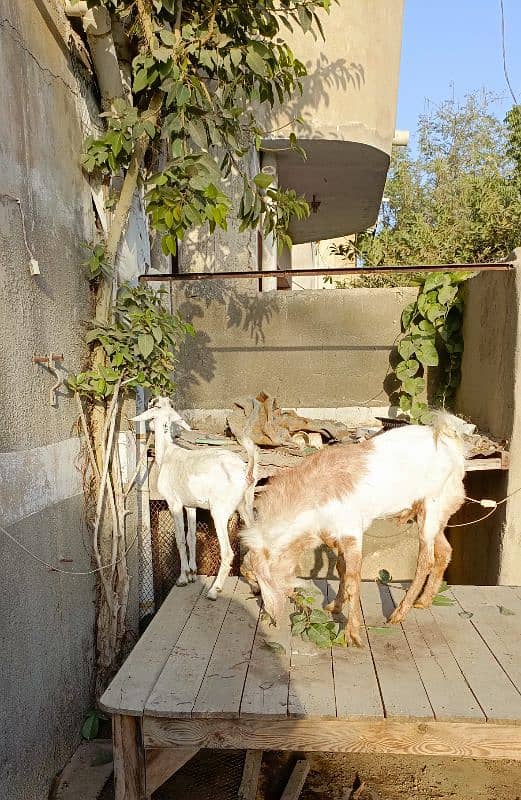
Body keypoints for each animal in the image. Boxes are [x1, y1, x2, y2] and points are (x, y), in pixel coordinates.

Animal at [133, 396, 256, 596]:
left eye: (155, 406)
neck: (167, 453)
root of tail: (246, 470)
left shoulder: (174, 503)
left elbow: (180, 539)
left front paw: (183, 578)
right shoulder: (190, 505)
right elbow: (191, 536)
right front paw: (192, 573)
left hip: (220, 512)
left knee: (228, 552)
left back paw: (214, 590)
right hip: (246, 507)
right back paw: (257, 588)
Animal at [240, 412, 464, 644]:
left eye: (257, 578)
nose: (271, 619)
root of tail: (448, 439)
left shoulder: (352, 532)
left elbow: (353, 580)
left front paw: (352, 634)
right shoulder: (334, 536)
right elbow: (342, 569)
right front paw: (335, 607)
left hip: (432, 508)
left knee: (425, 560)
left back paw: (398, 615)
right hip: (434, 513)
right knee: (444, 551)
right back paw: (423, 601)